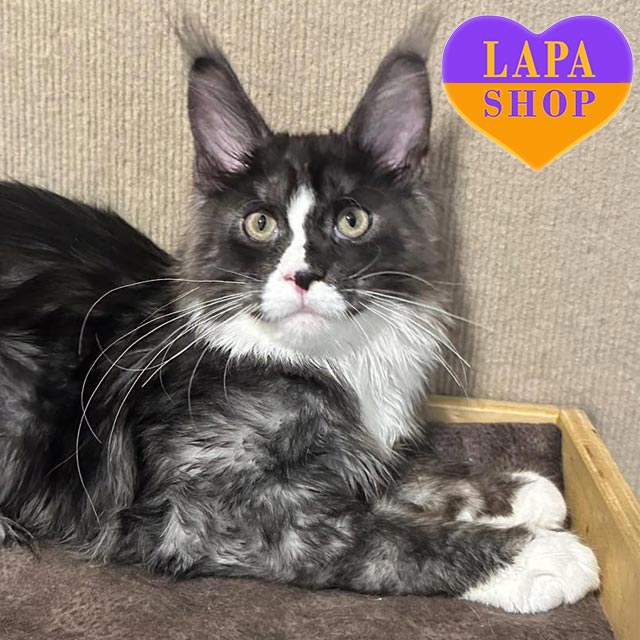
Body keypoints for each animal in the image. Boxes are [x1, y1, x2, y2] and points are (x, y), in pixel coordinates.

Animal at [0, 25, 599, 614]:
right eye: (260, 224)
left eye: (352, 221)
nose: (302, 276)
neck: (330, 365)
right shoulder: (207, 512)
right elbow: (377, 535)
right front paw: (538, 557)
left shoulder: (359, 445)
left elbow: (403, 473)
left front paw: (515, 493)